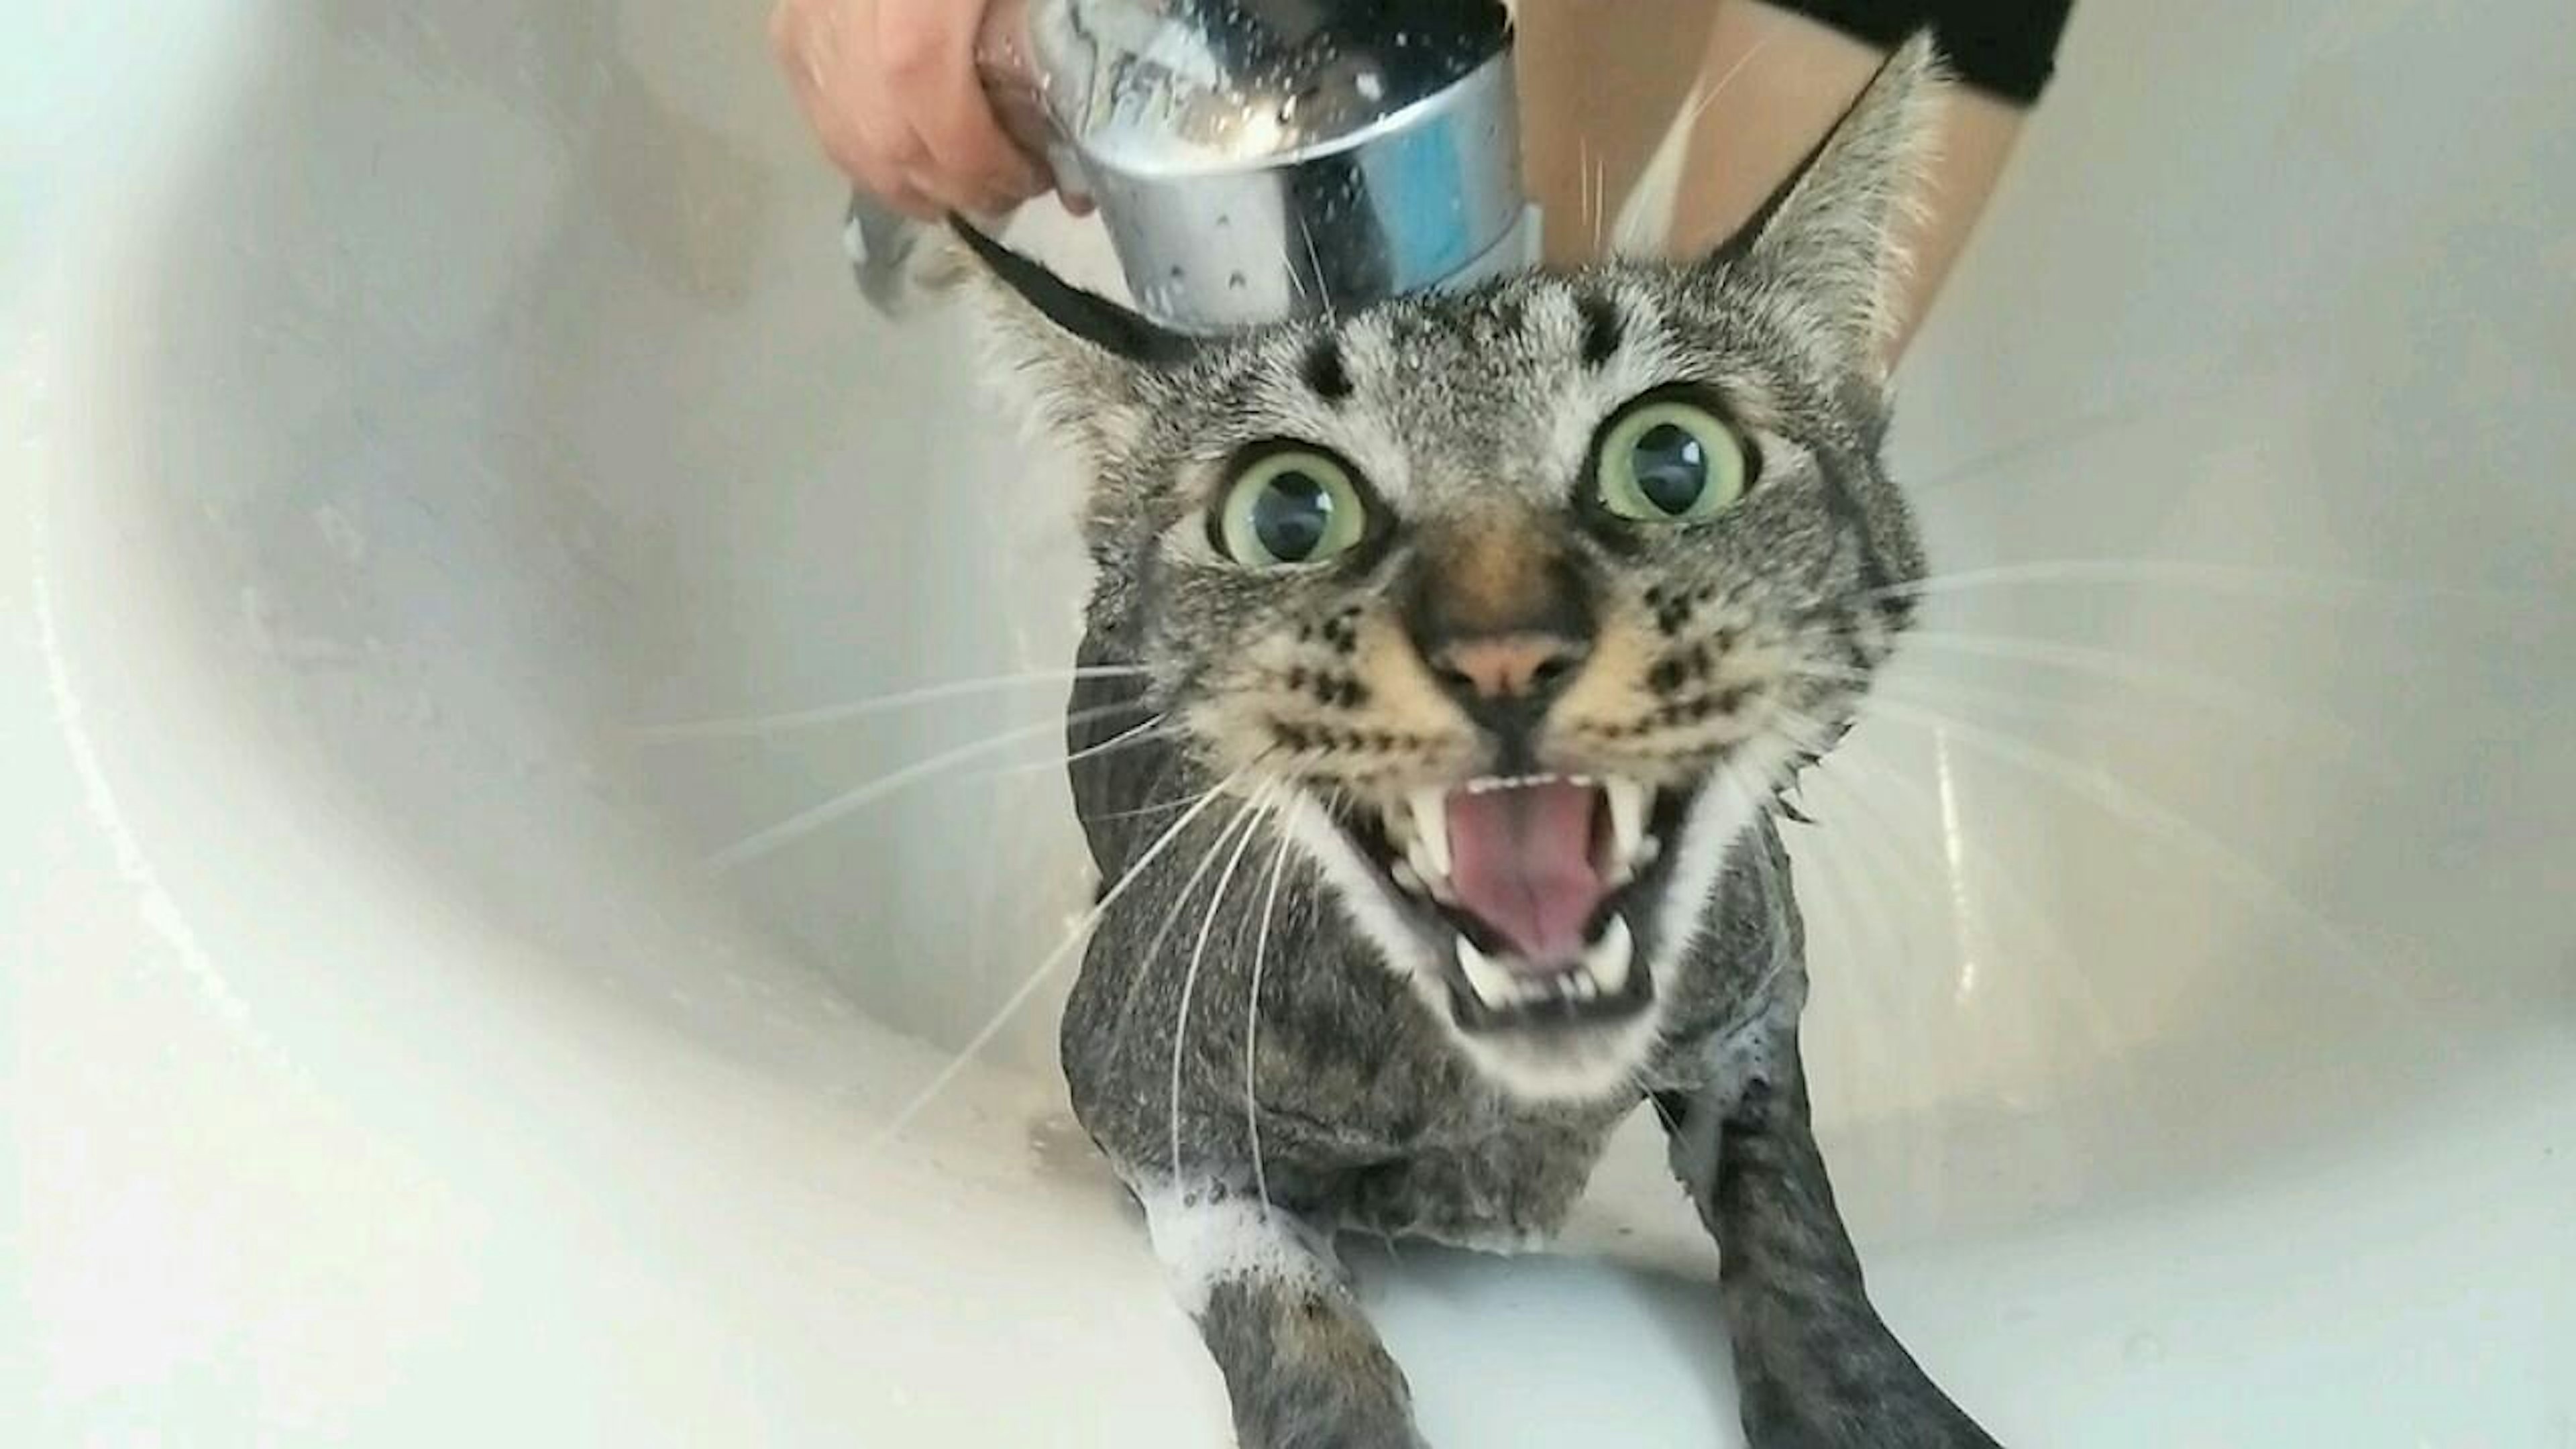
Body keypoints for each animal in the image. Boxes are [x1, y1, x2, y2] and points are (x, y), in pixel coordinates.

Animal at [937, 34, 1998, 1444]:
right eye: (1289, 514)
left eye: (1673, 463)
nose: (1504, 648)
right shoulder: (1137, 1087)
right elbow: (1284, 1304)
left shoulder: (1760, 1002)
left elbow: (1796, 1225)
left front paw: (1873, 1400)